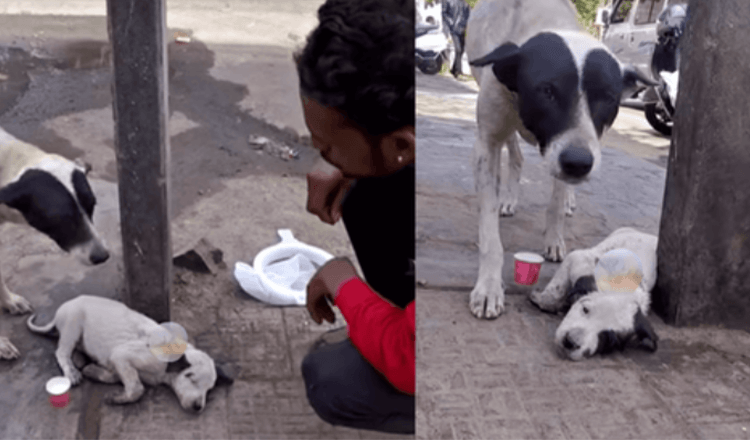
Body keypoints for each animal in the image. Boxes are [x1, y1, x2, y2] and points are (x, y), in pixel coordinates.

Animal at [464, 0, 656, 318]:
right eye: (547, 91)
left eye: (608, 97)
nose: (578, 163)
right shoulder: (487, 140)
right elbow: (490, 232)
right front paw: (489, 287)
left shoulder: (578, 145)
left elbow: (555, 202)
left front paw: (554, 237)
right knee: (515, 156)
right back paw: (509, 198)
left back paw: (568, 201)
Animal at [532, 227, 660, 360]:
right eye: (585, 309)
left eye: (608, 339)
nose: (571, 342)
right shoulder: (578, 259)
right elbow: (556, 289)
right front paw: (541, 298)